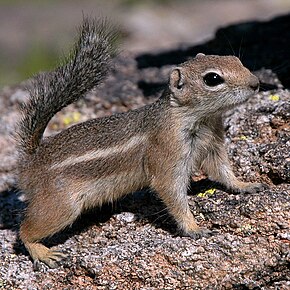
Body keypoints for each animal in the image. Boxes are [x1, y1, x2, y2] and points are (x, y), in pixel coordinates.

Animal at [17, 17, 264, 268]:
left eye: (236, 60)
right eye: (212, 79)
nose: (256, 83)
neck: (198, 118)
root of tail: (30, 162)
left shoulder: (213, 145)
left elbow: (223, 170)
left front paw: (245, 185)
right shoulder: (168, 155)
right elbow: (172, 193)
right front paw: (194, 228)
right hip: (61, 206)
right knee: (24, 231)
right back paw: (43, 252)